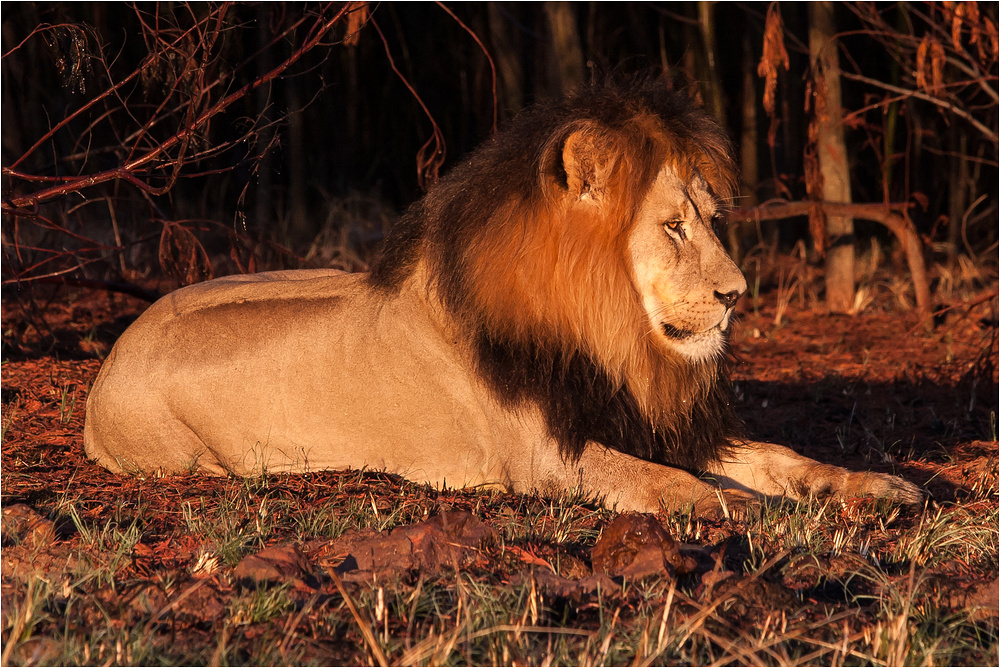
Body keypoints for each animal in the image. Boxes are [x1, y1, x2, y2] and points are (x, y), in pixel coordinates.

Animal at [84, 81, 920, 516]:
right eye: (674, 227)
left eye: (713, 220)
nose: (737, 295)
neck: (609, 338)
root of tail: (108, 360)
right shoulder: (545, 456)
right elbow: (656, 480)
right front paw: (732, 504)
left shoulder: (646, 420)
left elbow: (783, 455)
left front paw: (873, 485)